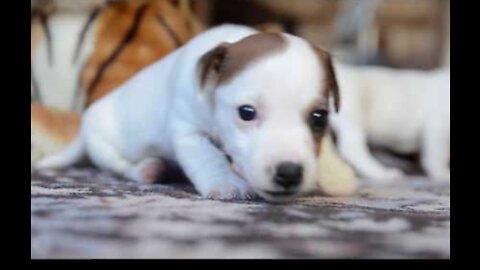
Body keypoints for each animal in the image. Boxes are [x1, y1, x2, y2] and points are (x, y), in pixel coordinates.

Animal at [33, 24, 348, 202]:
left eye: (319, 117)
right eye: (246, 113)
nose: (289, 173)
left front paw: (333, 174)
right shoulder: (188, 129)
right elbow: (209, 157)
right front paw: (226, 183)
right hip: (103, 143)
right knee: (119, 165)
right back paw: (149, 168)